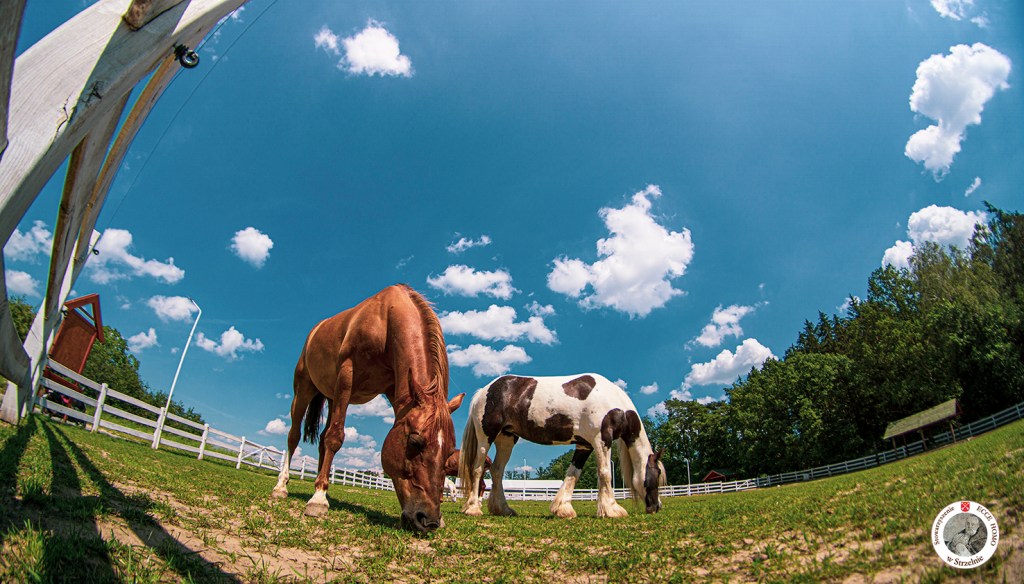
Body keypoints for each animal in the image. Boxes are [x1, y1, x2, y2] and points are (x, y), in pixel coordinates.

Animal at [270, 285, 464, 533]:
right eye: (414, 442)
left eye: (450, 453)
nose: (428, 520)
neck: (386, 321)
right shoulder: (347, 375)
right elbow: (335, 437)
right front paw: (318, 500)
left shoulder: (395, 392)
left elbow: (329, 438)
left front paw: (321, 491)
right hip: (303, 389)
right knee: (294, 436)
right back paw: (282, 486)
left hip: (332, 397)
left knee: (322, 440)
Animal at [459, 373, 665, 519]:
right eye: (658, 474)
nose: (657, 507)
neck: (612, 401)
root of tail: (484, 391)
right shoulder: (601, 439)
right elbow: (605, 473)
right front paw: (612, 510)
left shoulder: (584, 445)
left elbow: (573, 474)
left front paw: (563, 508)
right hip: (486, 437)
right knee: (477, 469)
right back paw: (473, 508)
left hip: (506, 439)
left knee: (497, 471)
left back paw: (503, 509)